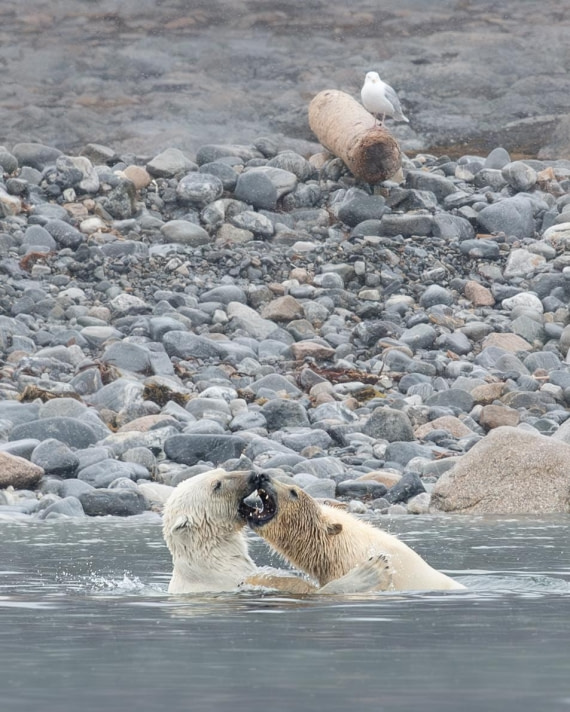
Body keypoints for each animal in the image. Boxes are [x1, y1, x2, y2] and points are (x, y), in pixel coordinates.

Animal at [162, 468, 393, 594]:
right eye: (217, 485)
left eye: (221, 470)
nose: (254, 475)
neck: (214, 561)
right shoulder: (232, 582)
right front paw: (371, 570)